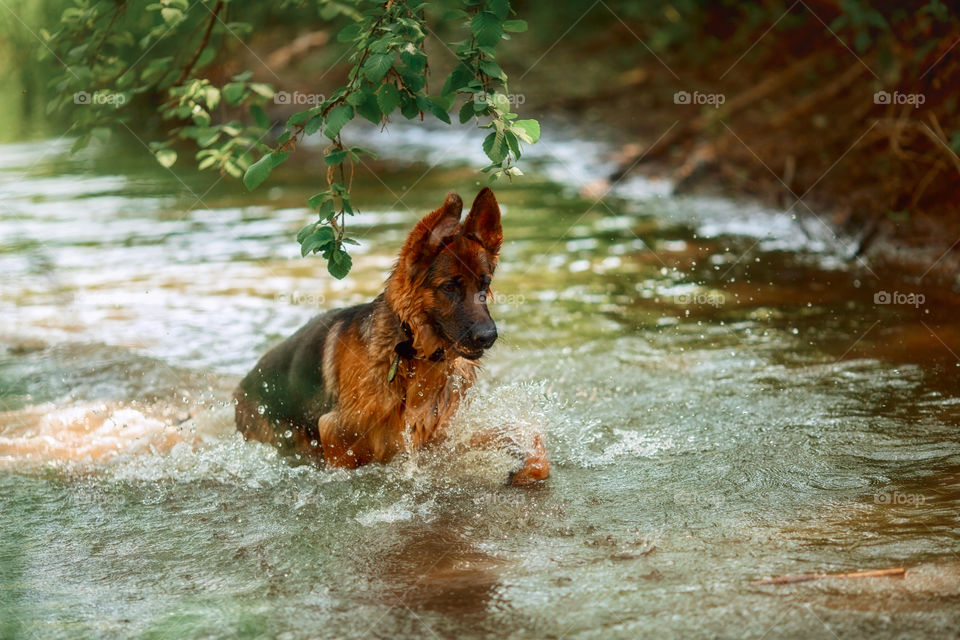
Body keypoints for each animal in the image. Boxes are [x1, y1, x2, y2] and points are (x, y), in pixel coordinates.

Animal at [234, 189, 548, 484]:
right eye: (448, 287)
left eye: (485, 284)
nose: (488, 337)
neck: (412, 353)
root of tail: (242, 386)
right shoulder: (336, 435)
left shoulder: (440, 440)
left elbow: (528, 433)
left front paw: (529, 468)